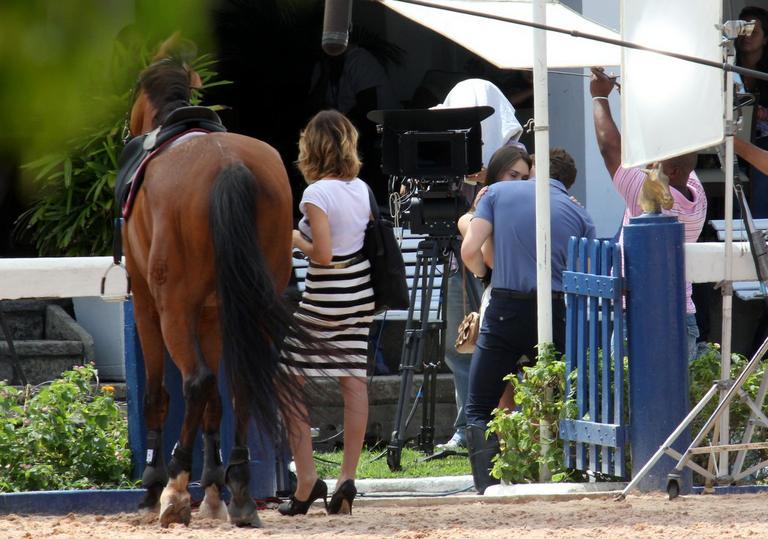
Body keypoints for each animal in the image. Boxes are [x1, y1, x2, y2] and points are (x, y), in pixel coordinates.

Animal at [123, 38, 304, 528]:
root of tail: (229, 165)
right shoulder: (213, 313)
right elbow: (216, 405)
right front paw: (215, 489)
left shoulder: (146, 302)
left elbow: (158, 393)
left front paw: (155, 486)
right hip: (248, 304)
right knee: (239, 384)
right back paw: (239, 490)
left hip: (172, 308)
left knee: (197, 382)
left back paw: (174, 486)